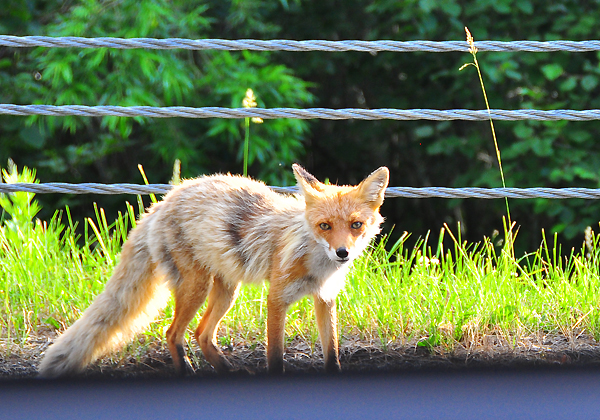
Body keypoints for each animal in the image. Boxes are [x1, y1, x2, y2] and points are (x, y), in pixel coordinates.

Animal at [39, 164, 392, 378]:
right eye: (325, 226)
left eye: (356, 225)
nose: (343, 253)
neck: (317, 265)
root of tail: (164, 201)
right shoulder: (277, 298)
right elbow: (275, 357)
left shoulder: (325, 298)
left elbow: (332, 355)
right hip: (196, 288)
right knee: (173, 333)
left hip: (226, 292)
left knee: (201, 334)